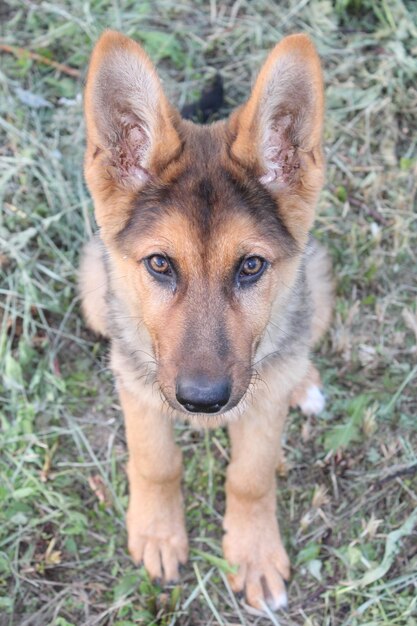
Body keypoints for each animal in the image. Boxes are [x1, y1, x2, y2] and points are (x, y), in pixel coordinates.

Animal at [78, 31, 332, 612]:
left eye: (251, 266)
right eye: (159, 264)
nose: (203, 403)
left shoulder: (259, 411)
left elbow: (251, 478)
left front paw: (253, 551)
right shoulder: (137, 386)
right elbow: (156, 463)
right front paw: (157, 532)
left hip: (318, 288)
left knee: (296, 345)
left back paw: (301, 380)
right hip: (92, 291)